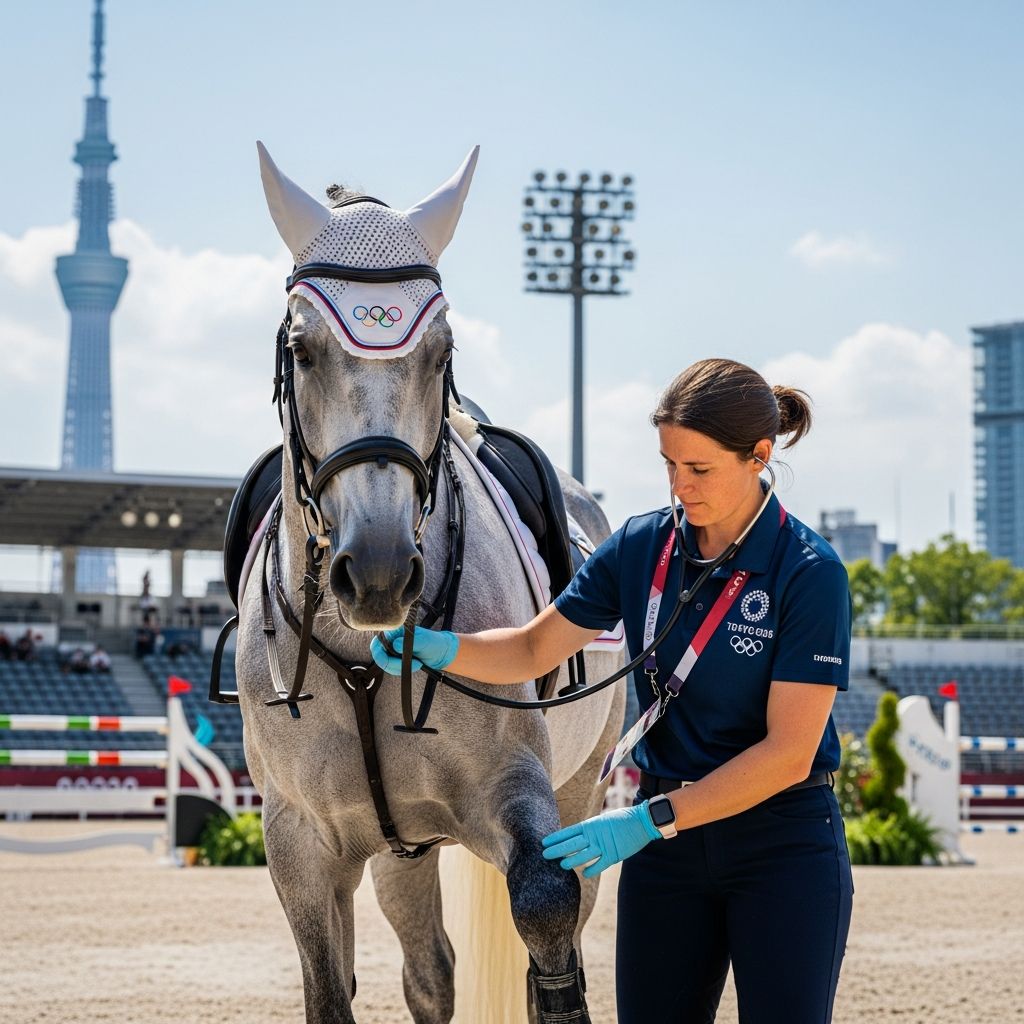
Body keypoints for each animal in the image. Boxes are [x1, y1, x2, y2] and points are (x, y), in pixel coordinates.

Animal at [233, 143, 625, 1024]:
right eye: (301, 351)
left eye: (441, 353)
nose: (378, 573)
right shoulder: (301, 842)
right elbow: (329, 990)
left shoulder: (517, 795)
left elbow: (545, 915)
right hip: (396, 850)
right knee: (429, 972)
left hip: (581, 788)